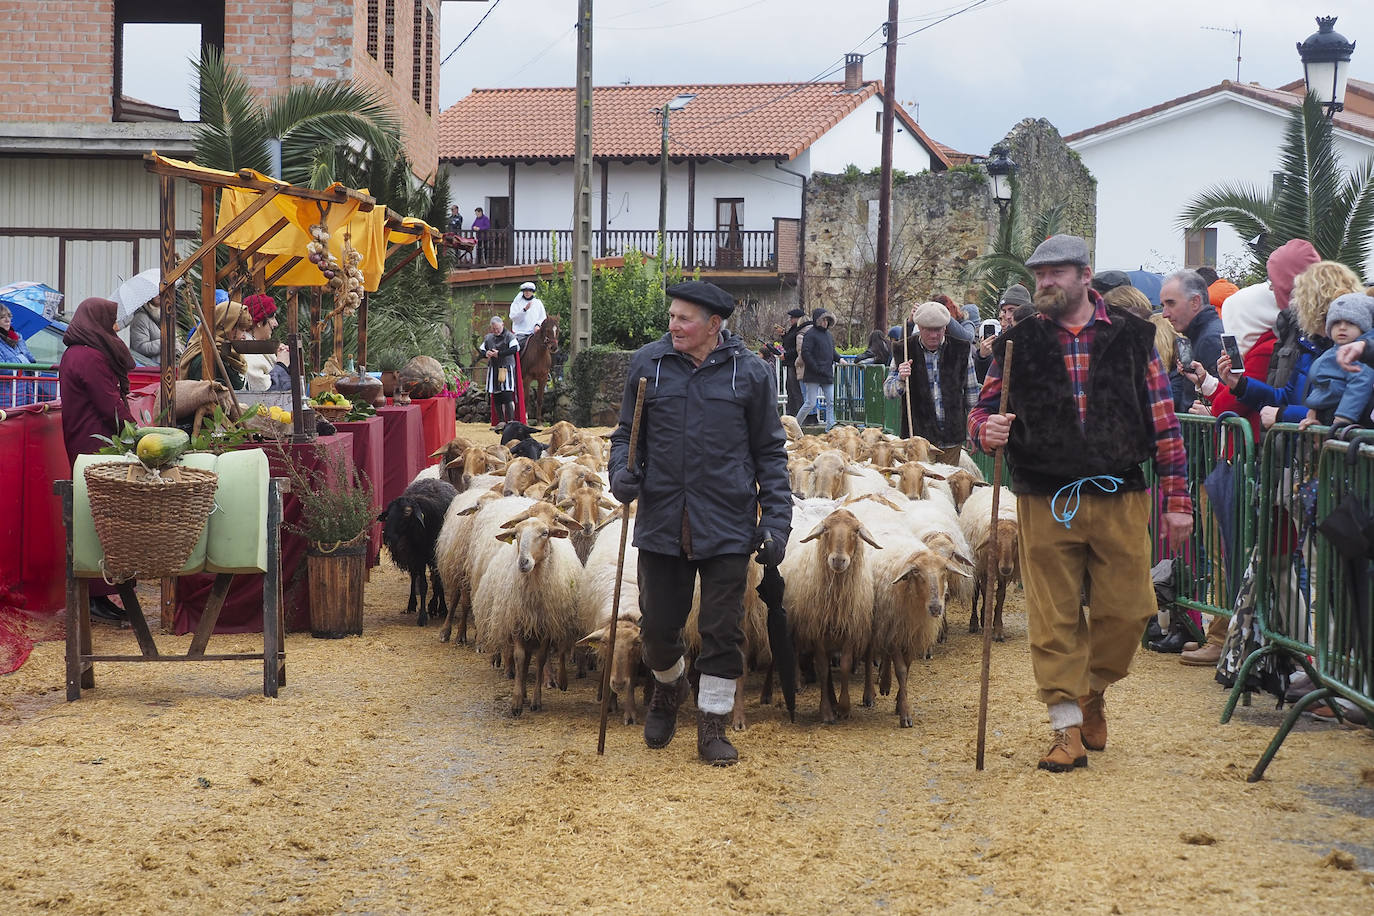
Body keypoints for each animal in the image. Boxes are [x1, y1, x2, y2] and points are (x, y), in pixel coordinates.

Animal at [379, 477, 458, 626]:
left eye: (406, 513)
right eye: (388, 514)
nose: (387, 536)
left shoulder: (436, 557)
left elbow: (438, 582)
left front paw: (441, 608)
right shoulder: (418, 557)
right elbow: (422, 585)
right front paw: (423, 616)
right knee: (414, 576)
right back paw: (411, 604)